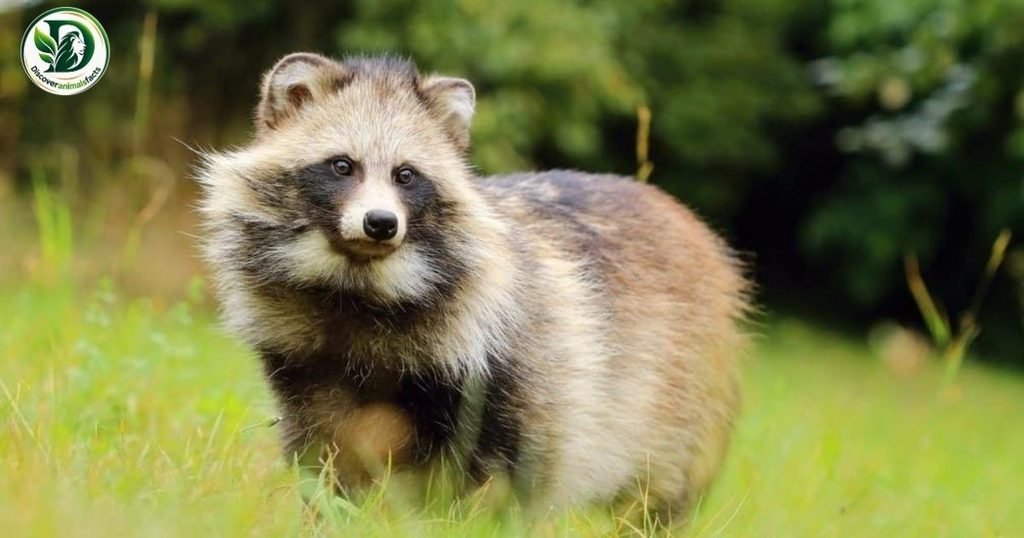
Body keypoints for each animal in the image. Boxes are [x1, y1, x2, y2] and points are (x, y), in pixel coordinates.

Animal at [197, 52, 748, 524]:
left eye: (406, 175)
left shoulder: (515, 359)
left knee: (656, 493)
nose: (381, 224)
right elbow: (324, 453)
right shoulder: (306, 362)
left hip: (679, 396)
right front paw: (325, 513)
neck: (358, 288)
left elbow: (512, 470)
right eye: (341, 165)